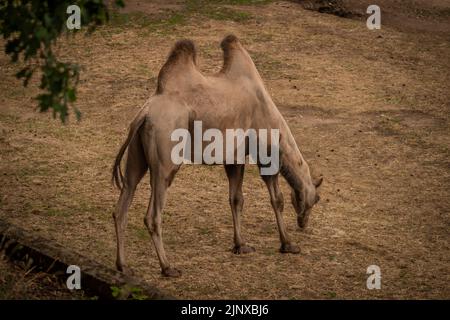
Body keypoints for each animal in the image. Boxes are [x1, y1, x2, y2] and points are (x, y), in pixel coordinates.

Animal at [112, 33, 324, 276]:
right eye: (316, 199)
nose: (303, 223)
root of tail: (145, 113)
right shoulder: (265, 154)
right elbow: (276, 199)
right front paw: (288, 245)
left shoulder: (234, 158)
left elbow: (236, 199)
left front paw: (240, 245)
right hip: (166, 156)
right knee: (153, 214)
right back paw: (168, 267)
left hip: (137, 154)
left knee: (123, 200)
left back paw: (123, 266)